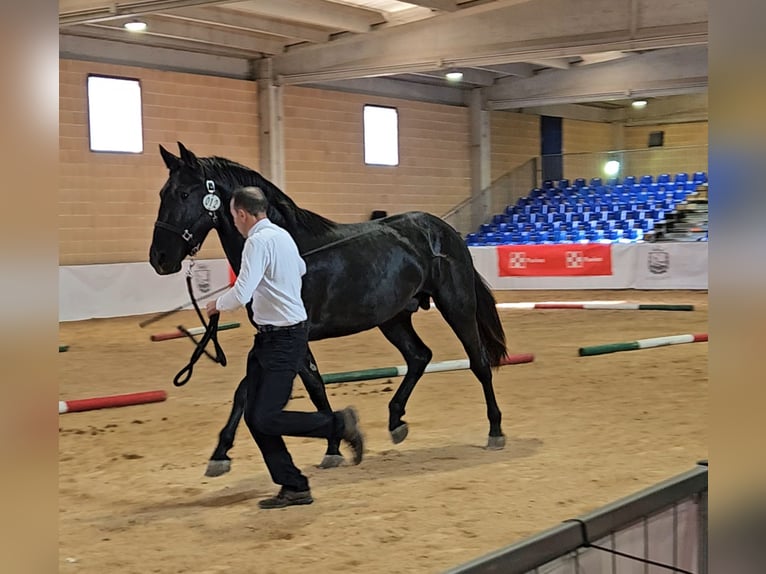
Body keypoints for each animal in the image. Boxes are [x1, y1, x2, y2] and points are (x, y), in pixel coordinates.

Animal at [150, 143, 510, 476]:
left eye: (184, 193)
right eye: (162, 193)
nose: (159, 258)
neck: (289, 247)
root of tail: (445, 231)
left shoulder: (296, 333)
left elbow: (311, 389)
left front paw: (334, 448)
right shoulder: (270, 335)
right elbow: (248, 392)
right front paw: (220, 454)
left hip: (456, 305)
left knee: (478, 362)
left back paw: (495, 431)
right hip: (393, 319)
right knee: (419, 356)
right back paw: (396, 421)